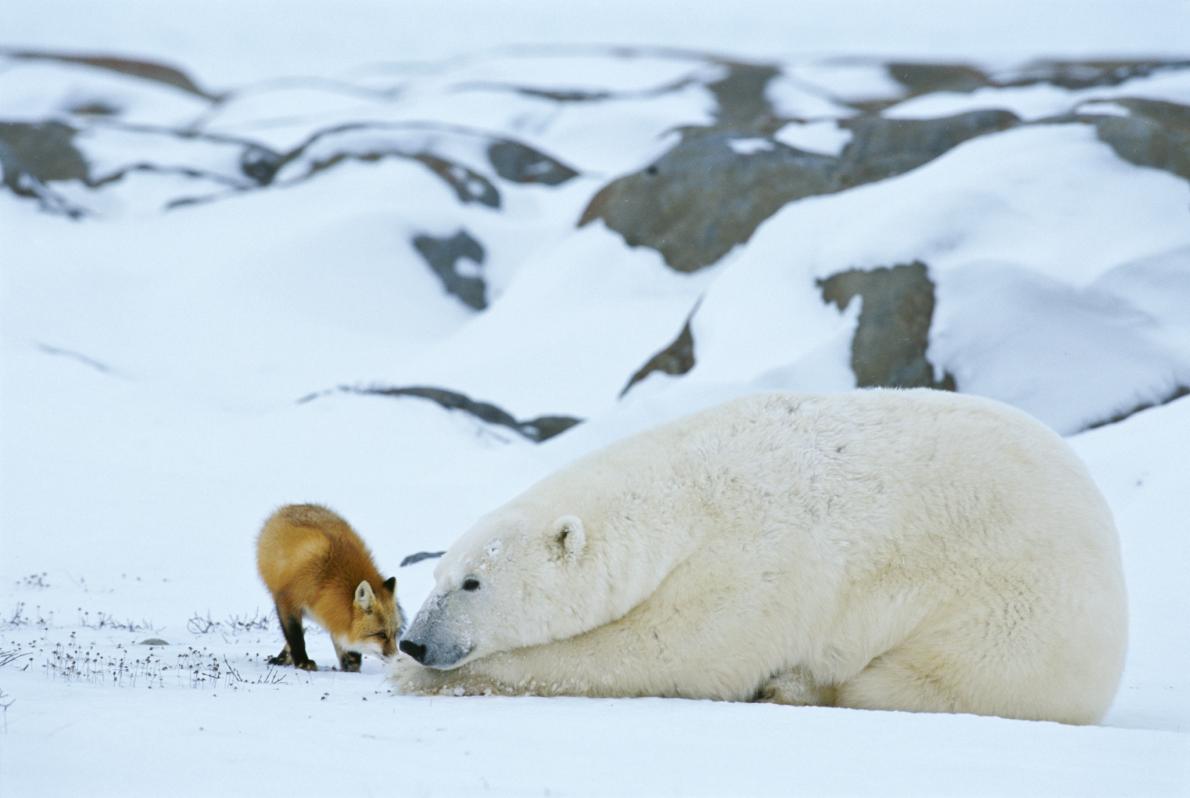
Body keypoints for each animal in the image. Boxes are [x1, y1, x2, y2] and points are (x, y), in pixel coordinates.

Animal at [255, 506, 404, 665]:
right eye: (381, 634)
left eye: (395, 633)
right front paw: (303, 662)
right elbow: (295, 636)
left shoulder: (335, 616)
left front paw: (350, 664)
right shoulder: (287, 601)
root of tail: (291, 506)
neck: (326, 580)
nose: (398, 659)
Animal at [395, 390, 1128, 727]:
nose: (413, 642)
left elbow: (670, 651)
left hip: (1014, 615)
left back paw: (799, 686)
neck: (685, 500)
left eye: (472, 582)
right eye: (436, 573)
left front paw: (423, 679)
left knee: (916, 680)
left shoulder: (755, 567)